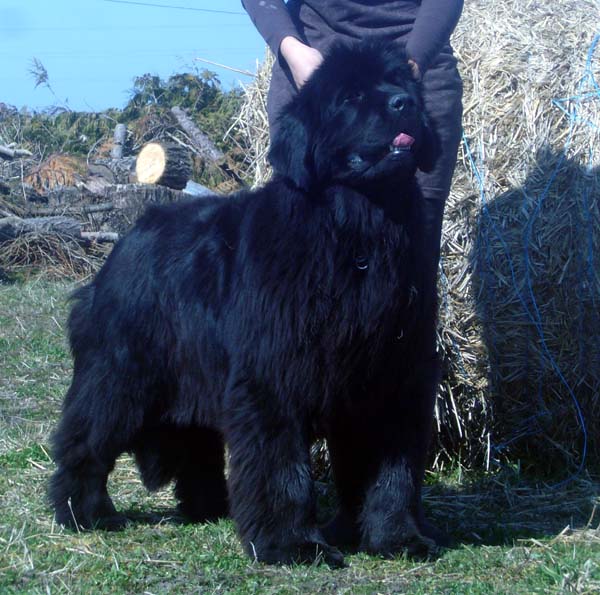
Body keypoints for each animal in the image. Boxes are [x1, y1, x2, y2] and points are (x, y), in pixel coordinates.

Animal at [49, 42, 446, 568]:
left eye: (402, 81)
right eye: (352, 97)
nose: (405, 103)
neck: (358, 231)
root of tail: (126, 238)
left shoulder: (394, 376)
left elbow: (391, 471)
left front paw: (397, 537)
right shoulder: (272, 374)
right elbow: (282, 467)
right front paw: (292, 544)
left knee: (194, 443)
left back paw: (208, 508)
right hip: (120, 374)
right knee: (86, 440)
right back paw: (84, 512)